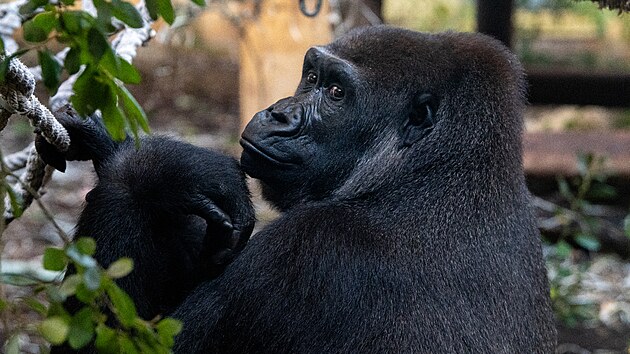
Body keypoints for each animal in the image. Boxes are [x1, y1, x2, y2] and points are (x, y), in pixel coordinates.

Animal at [42, 25, 560, 352]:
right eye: (311, 76)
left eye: (335, 93)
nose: (277, 114)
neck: (428, 172)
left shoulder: (310, 251)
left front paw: (157, 169)